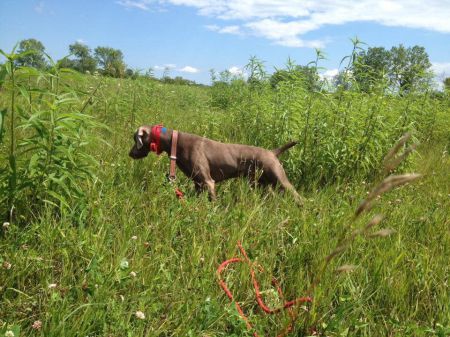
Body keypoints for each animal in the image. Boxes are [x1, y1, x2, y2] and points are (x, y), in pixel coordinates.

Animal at [128, 123, 302, 202]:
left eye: (135, 139)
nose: (130, 154)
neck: (175, 142)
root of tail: (272, 152)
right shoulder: (198, 183)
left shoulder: (208, 182)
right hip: (261, 183)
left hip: (279, 179)